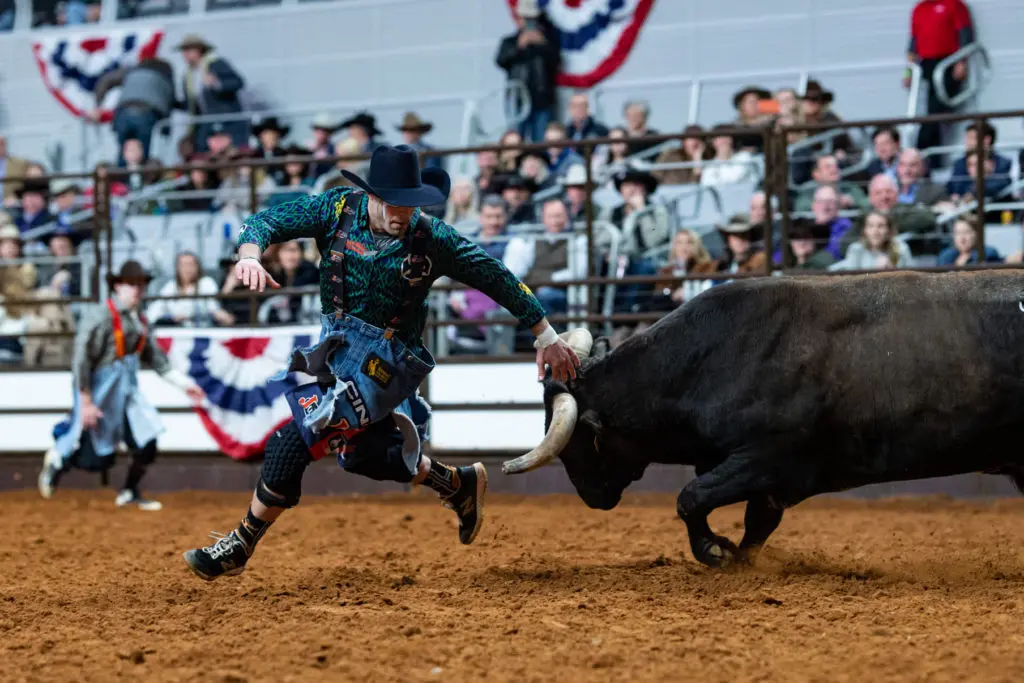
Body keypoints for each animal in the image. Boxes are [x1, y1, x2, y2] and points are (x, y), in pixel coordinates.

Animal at [501, 270, 1024, 568]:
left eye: (574, 444)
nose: (591, 497)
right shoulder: (769, 480)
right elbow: (755, 524)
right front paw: (736, 556)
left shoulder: (766, 458)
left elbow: (691, 497)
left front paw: (714, 550)